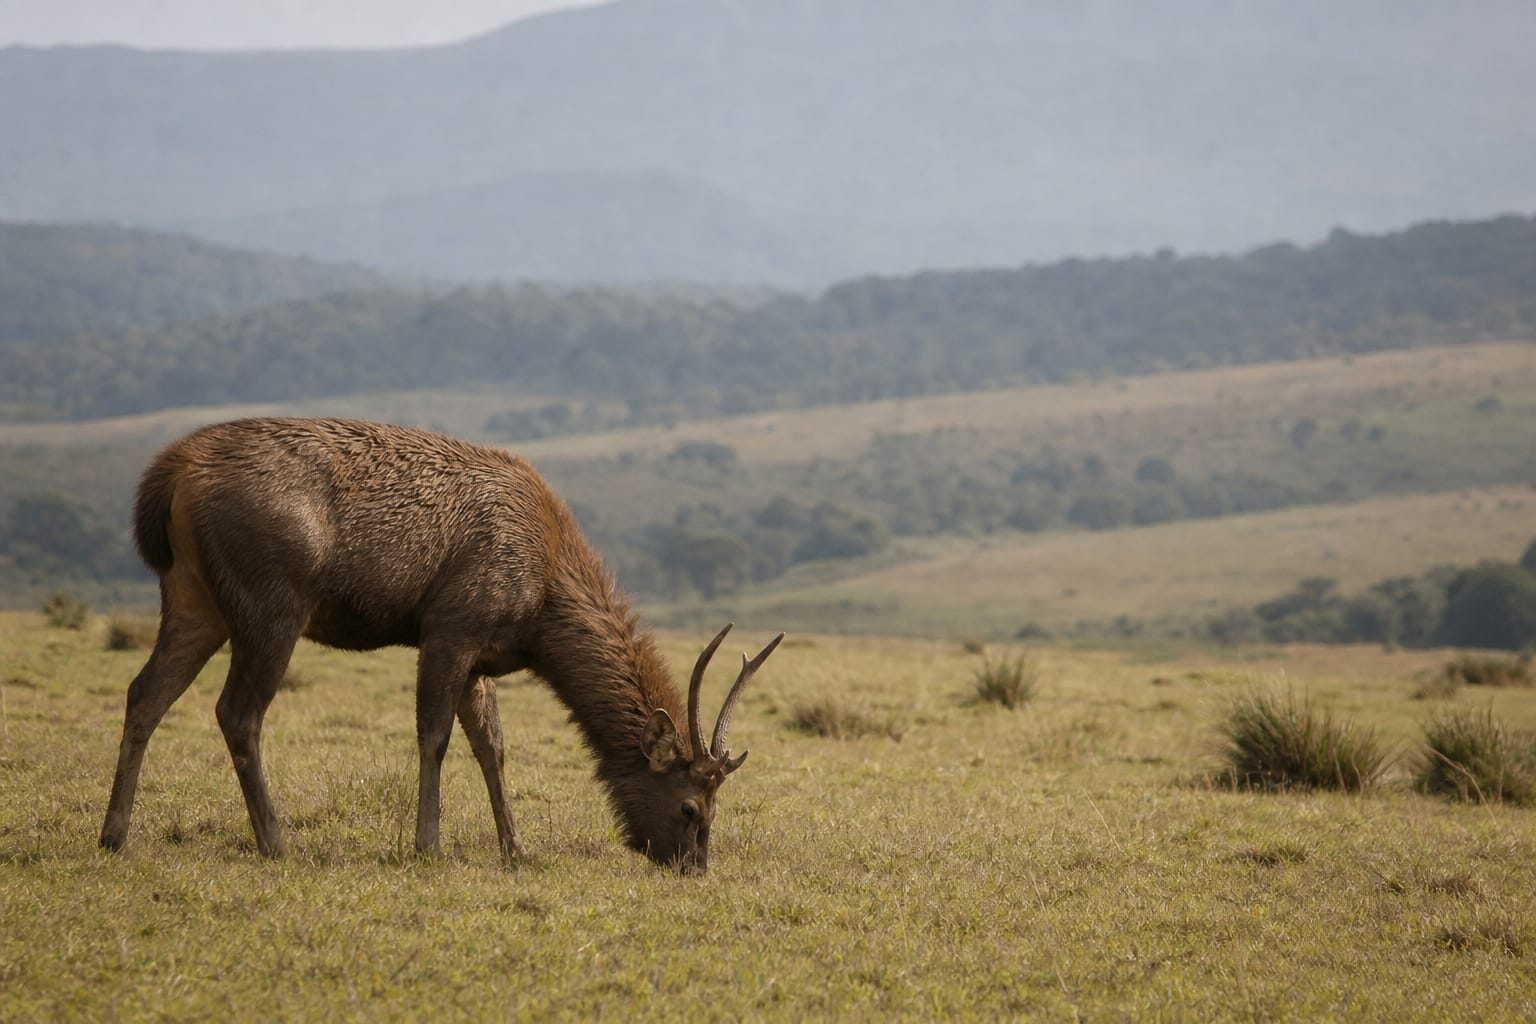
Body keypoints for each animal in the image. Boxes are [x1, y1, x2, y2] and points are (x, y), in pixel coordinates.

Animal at [98, 417, 783, 875]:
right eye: (692, 808)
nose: (694, 869)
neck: (542, 607)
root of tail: (165, 480)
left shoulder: (483, 652)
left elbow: (493, 747)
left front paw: (517, 849)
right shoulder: (451, 623)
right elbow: (435, 734)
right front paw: (427, 844)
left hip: (193, 598)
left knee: (144, 693)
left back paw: (114, 834)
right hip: (272, 600)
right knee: (237, 711)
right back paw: (276, 842)